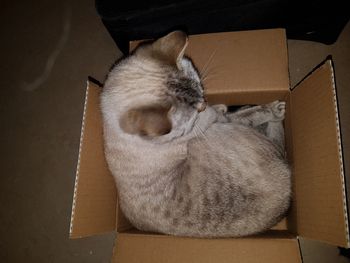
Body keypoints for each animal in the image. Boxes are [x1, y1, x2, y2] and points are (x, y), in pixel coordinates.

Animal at [100, 31, 292, 239]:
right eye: (195, 111)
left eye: (201, 88)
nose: (205, 104)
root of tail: (284, 205)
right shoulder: (210, 123)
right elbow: (249, 115)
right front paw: (271, 110)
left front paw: (223, 106)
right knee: (277, 142)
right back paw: (277, 112)